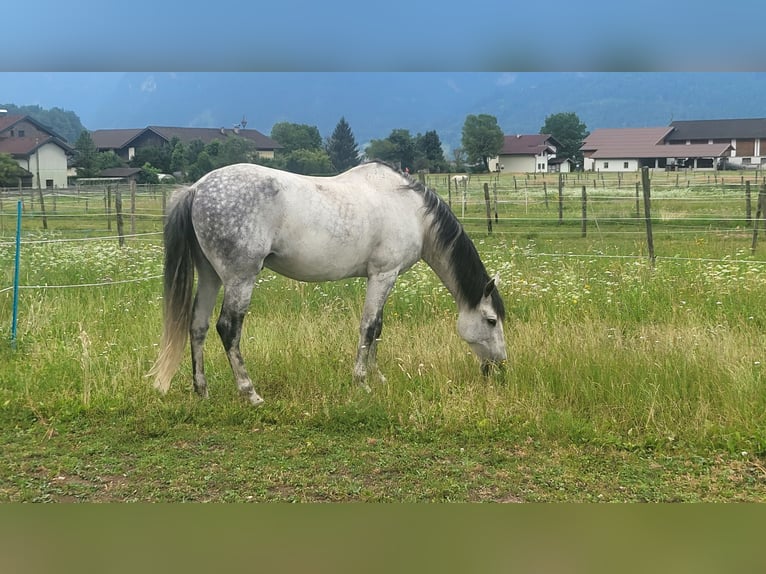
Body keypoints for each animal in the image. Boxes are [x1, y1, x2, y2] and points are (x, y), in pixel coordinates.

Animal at [148, 160, 506, 406]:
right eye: (491, 320)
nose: (499, 368)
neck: (412, 212)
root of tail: (197, 188)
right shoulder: (383, 275)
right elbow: (369, 327)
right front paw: (362, 382)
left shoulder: (381, 278)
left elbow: (378, 327)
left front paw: (378, 377)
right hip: (240, 278)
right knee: (228, 328)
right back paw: (251, 394)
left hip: (210, 275)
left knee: (198, 326)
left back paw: (202, 391)